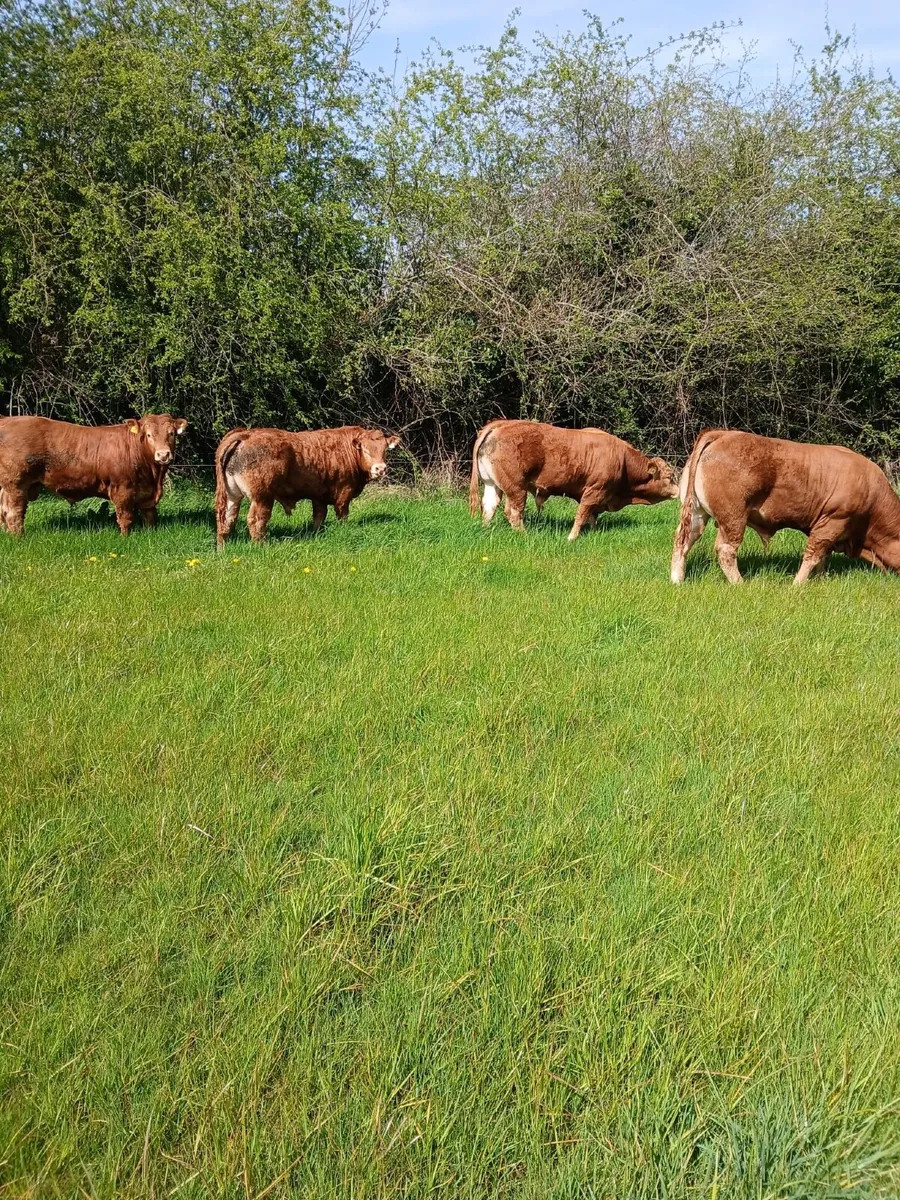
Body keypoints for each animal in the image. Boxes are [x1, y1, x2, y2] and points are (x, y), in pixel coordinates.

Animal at [0, 413, 188, 535]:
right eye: (148, 435)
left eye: (171, 433)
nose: (163, 455)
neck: (153, 476)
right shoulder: (122, 489)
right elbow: (125, 517)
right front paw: (125, 538)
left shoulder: (147, 493)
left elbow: (150, 516)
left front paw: (150, 534)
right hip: (16, 484)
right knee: (14, 513)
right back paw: (19, 538)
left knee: (3, 510)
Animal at [214, 425, 401, 546]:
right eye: (366, 450)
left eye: (385, 450)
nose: (380, 469)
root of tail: (247, 434)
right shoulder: (344, 492)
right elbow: (342, 515)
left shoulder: (318, 496)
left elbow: (319, 517)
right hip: (262, 497)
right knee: (256, 520)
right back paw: (261, 546)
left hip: (232, 495)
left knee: (226, 519)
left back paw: (223, 548)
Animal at [469, 419, 679, 540]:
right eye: (669, 476)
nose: (678, 491)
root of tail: (500, 425)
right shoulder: (594, 490)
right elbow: (582, 514)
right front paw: (572, 537)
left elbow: (592, 516)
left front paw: (594, 532)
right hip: (516, 488)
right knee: (513, 512)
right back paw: (524, 535)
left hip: (492, 485)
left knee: (489, 507)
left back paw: (486, 530)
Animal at [671, 429, 900, 584]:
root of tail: (723, 434)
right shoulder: (834, 520)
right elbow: (814, 553)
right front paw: (797, 585)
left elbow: (823, 555)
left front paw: (821, 579)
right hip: (733, 516)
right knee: (725, 550)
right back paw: (740, 583)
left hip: (697, 513)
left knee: (683, 541)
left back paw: (677, 580)